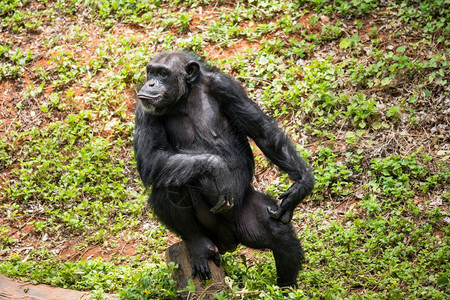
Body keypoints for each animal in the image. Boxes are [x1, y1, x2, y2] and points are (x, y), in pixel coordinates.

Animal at [134, 50, 312, 288]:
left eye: (163, 73)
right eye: (150, 72)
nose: (150, 83)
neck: (185, 97)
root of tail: (228, 242)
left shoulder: (226, 87)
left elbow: (262, 131)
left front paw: (301, 185)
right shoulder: (143, 110)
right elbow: (150, 157)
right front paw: (216, 166)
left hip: (244, 217)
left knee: (280, 236)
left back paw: (286, 288)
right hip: (210, 229)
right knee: (170, 184)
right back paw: (199, 245)